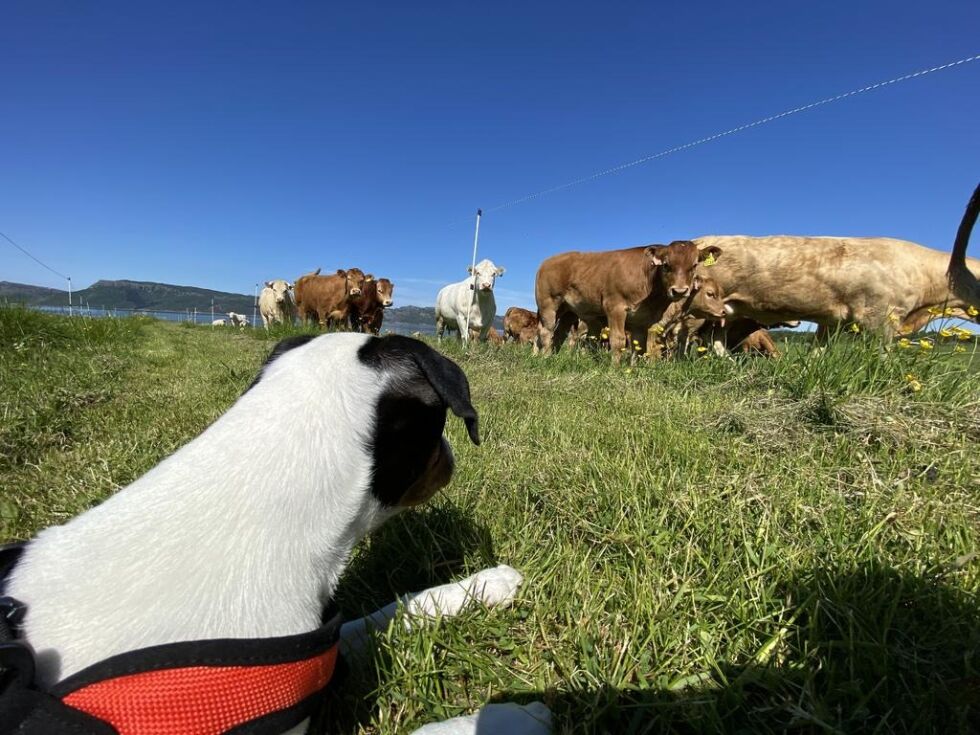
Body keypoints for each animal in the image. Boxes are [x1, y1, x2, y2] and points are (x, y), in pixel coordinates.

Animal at [536, 240, 720, 364]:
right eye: (666, 265)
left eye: (694, 265)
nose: (680, 291)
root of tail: (549, 260)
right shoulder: (615, 307)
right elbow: (618, 340)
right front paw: (615, 368)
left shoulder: (641, 321)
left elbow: (639, 346)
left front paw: (633, 368)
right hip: (548, 304)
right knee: (546, 331)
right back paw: (545, 357)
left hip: (568, 311)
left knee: (558, 334)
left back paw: (552, 357)